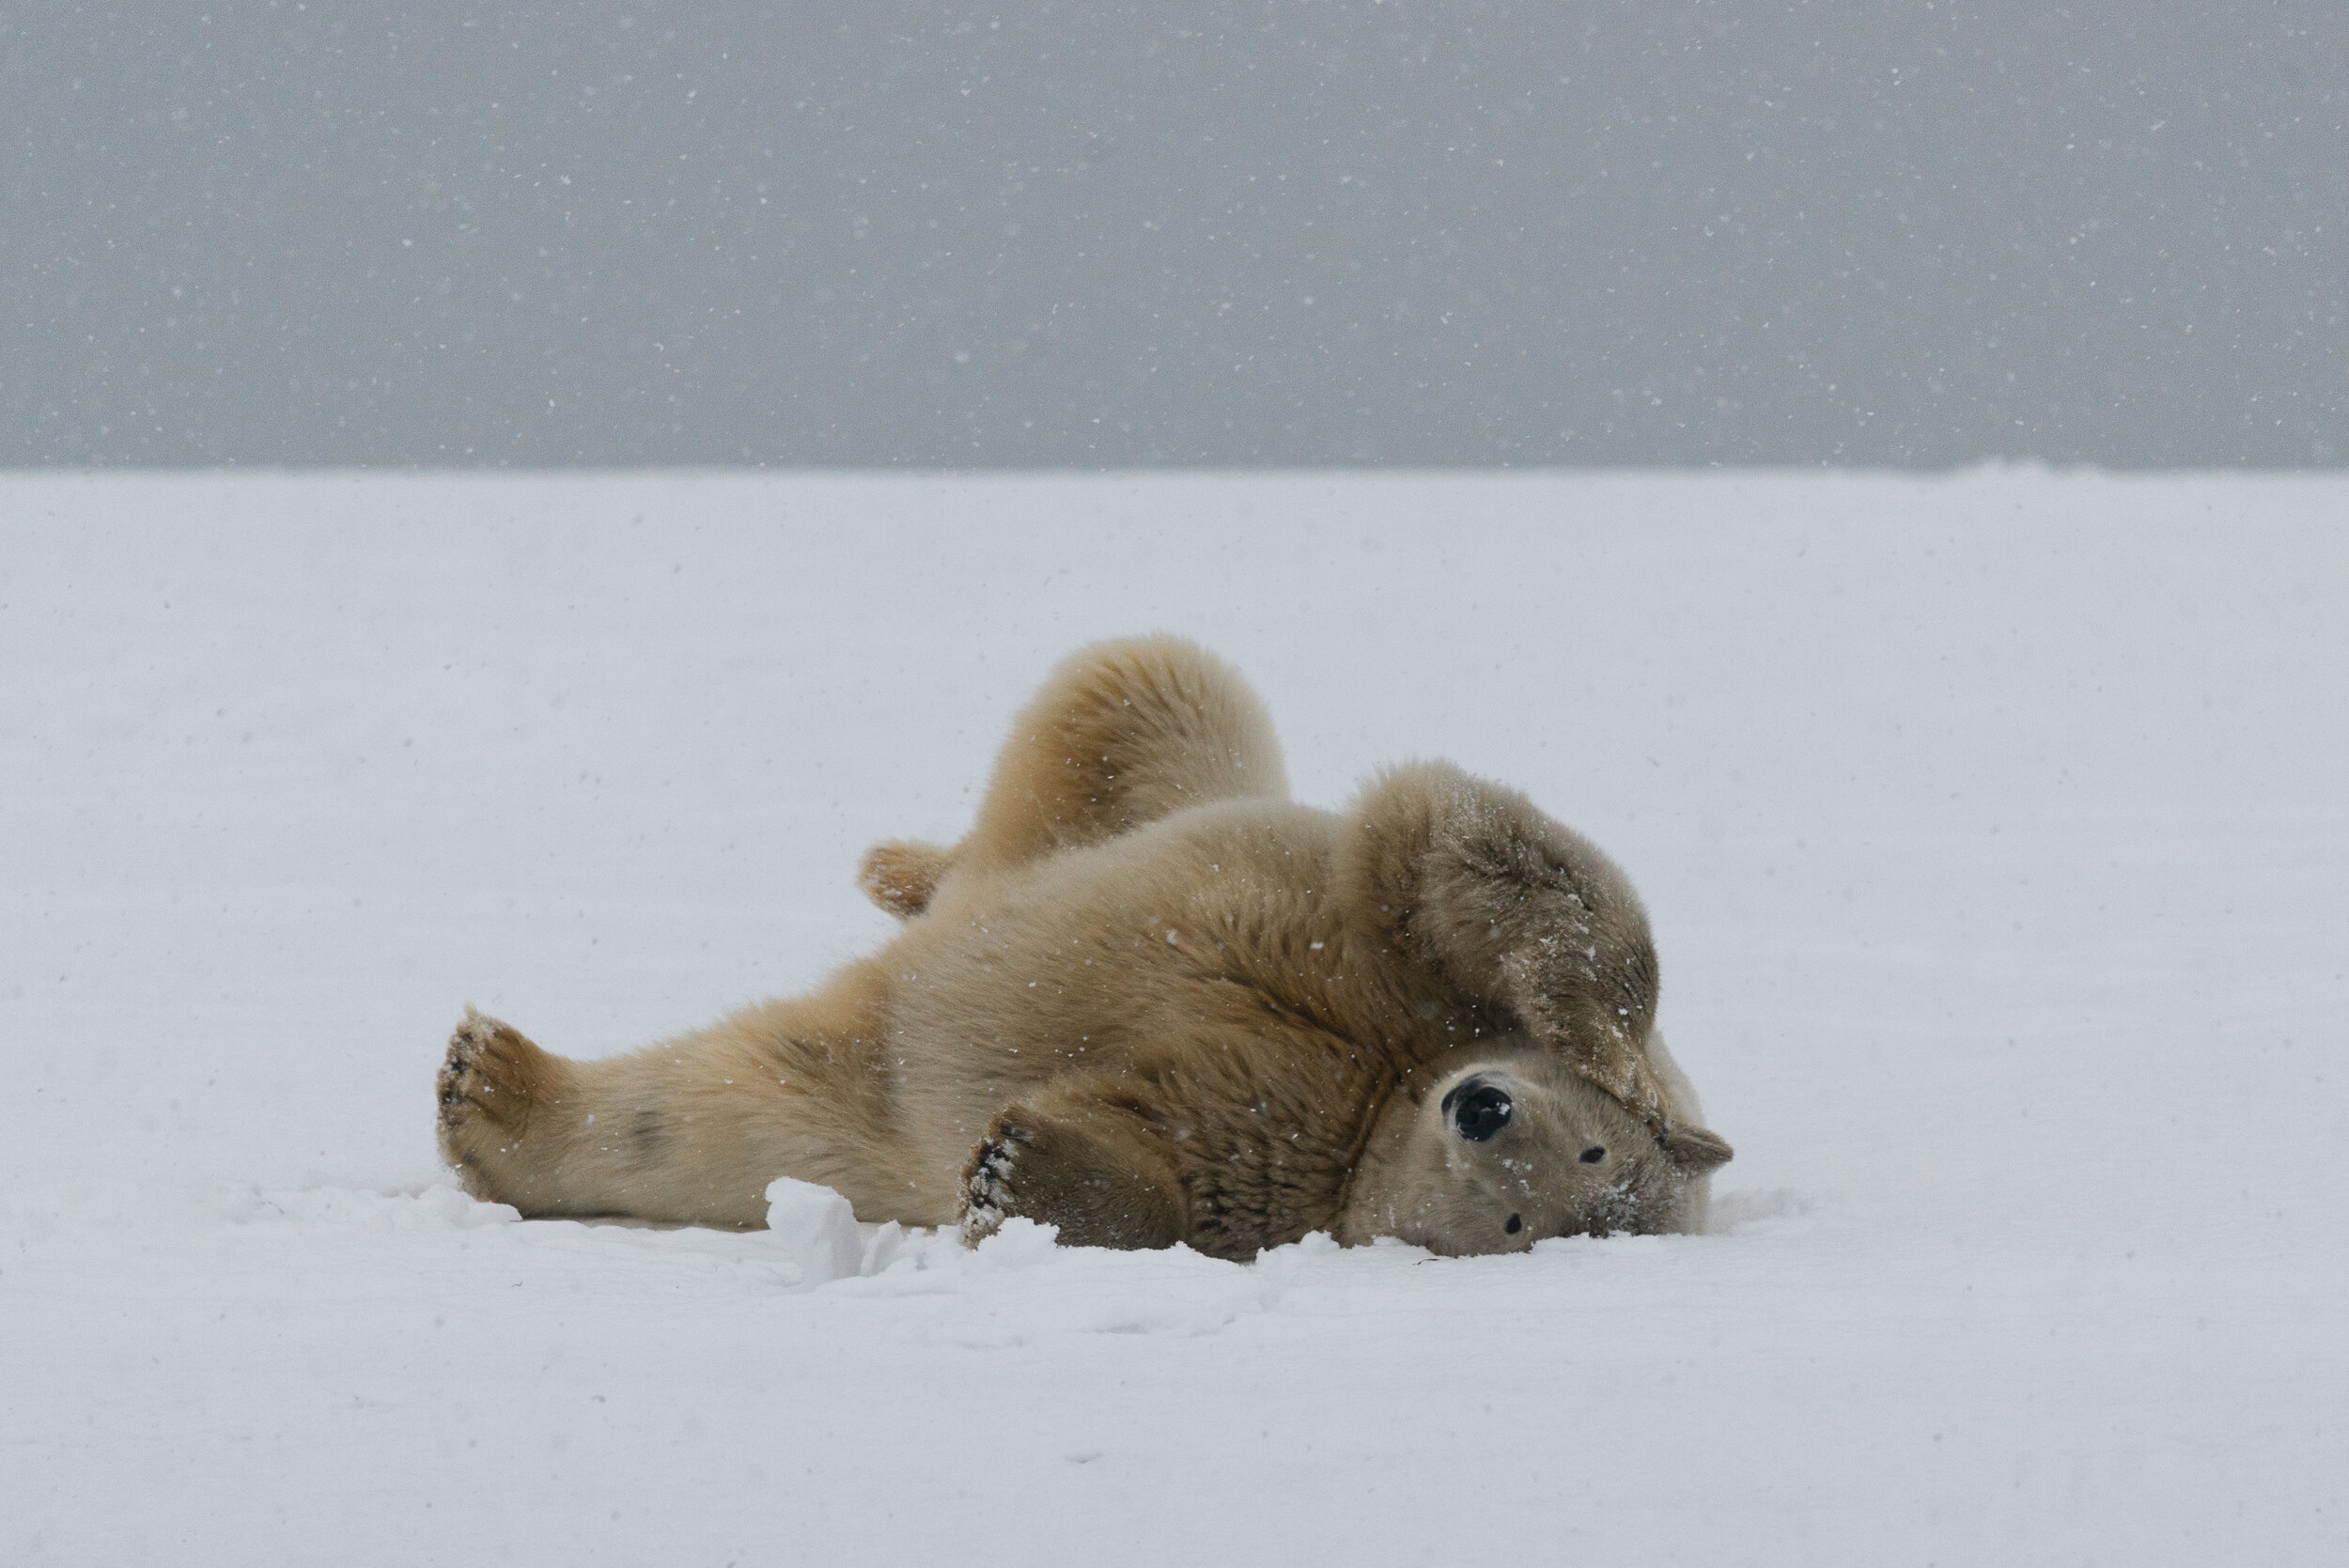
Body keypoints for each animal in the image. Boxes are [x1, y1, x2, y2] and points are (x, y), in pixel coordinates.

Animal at [442, 629, 1729, 1258]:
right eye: (1594, 1143)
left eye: (1526, 1221)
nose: (1483, 1109)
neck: (1384, 1082)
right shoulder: (1389, 969)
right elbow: (1457, 845)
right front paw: (1606, 1041)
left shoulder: (1287, 1168)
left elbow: (1160, 1169)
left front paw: (1017, 1166)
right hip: (1141, 778)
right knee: (1145, 682)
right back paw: (901, 868)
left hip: (854, 1110)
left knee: (715, 1114)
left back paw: (491, 1093)